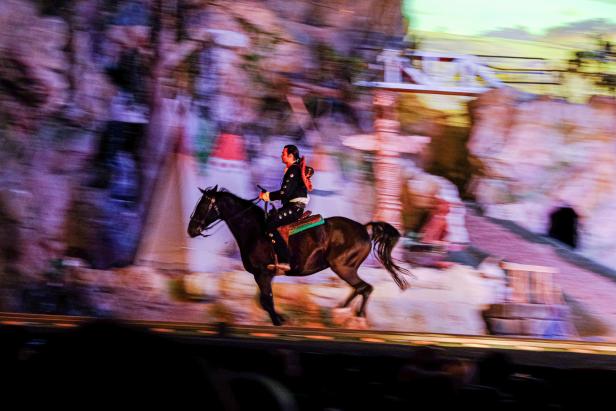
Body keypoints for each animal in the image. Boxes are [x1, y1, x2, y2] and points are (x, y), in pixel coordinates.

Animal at [185, 185, 412, 326]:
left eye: (204, 205)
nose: (191, 230)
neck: (254, 230)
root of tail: (364, 229)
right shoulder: (264, 275)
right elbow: (263, 301)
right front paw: (281, 318)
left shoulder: (263, 274)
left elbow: (267, 301)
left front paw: (280, 321)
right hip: (344, 267)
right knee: (359, 288)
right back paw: (340, 312)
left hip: (343, 266)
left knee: (365, 288)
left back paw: (357, 318)